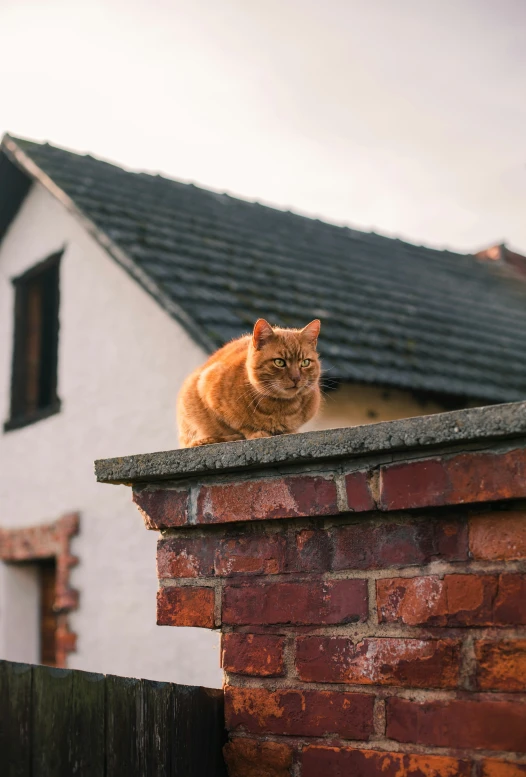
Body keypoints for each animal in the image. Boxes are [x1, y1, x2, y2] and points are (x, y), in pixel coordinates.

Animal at [178, 316, 322, 448]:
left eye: (305, 363)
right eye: (279, 362)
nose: (296, 378)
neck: (279, 408)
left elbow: (291, 429)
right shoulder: (208, 386)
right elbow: (240, 424)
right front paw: (256, 432)